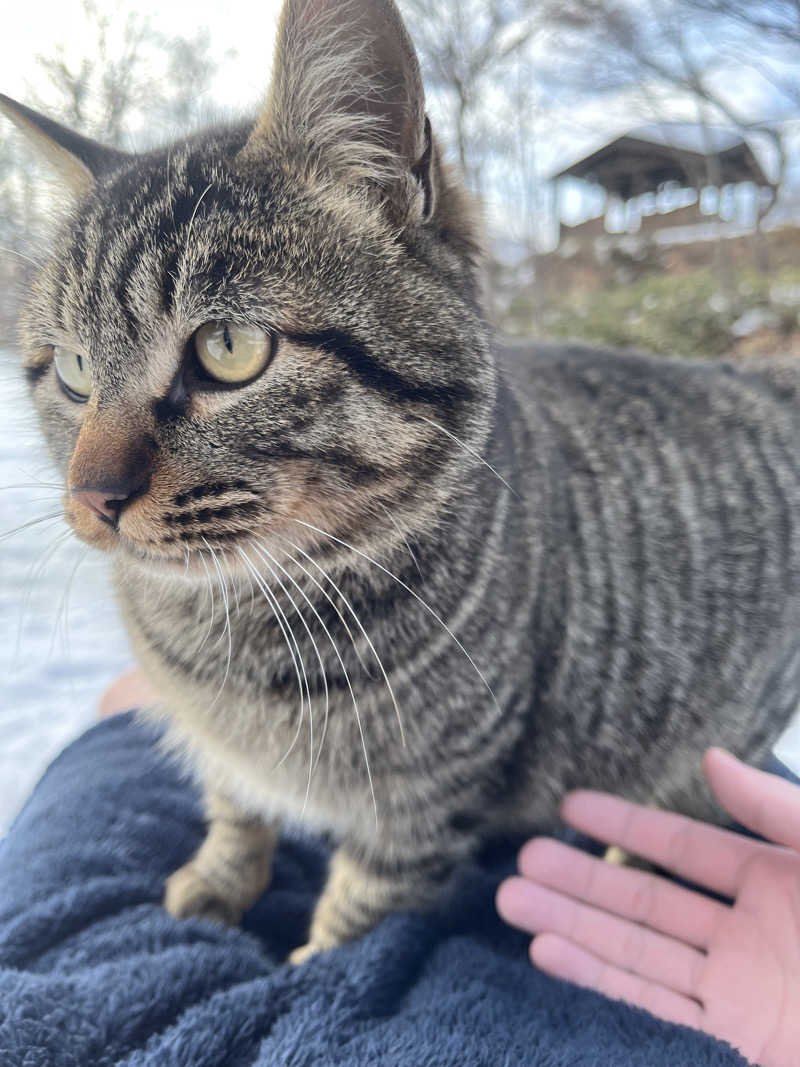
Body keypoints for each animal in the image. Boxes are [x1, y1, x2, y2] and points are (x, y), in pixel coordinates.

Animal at [4, 0, 800, 968]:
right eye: (74, 370)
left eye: (229, 348)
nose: (93, 498)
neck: (233, 631)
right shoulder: (229, 761)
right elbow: (234, 811)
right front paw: (216, 880)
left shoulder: (414, 817)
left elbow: (351, 926)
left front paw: (308, 962)